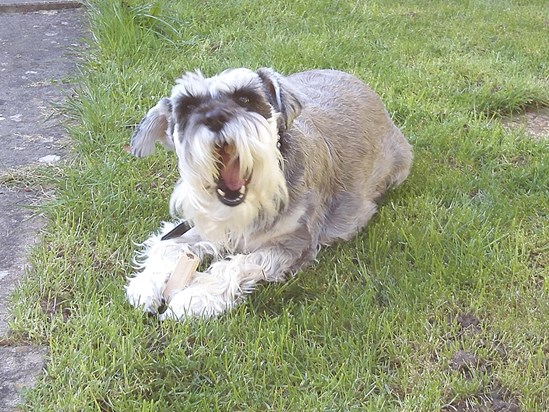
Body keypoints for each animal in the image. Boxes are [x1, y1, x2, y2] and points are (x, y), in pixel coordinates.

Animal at [124, 67, 412, 320]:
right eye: (188, 106)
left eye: (244, 98)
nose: (214, 117)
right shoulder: (204, 228)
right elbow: (167, 246)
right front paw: (145, 285)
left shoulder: (293, 244)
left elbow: (235, 265)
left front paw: (195, 298)